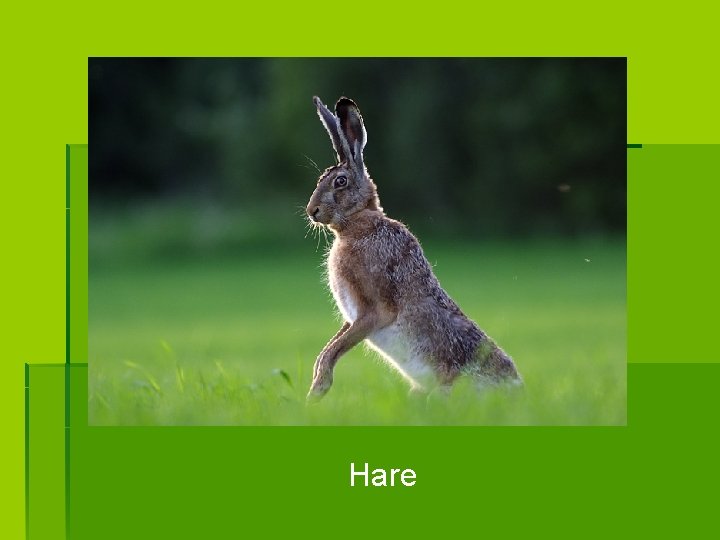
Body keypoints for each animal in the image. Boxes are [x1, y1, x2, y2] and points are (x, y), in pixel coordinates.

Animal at [305, 96, 521, 400]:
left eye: (340, 181)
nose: (312, 211)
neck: (358, 222)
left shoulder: (374, 310)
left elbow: (337, 348)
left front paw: (318, 390)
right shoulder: (353, 317)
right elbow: (329, 347)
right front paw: (315, 388)